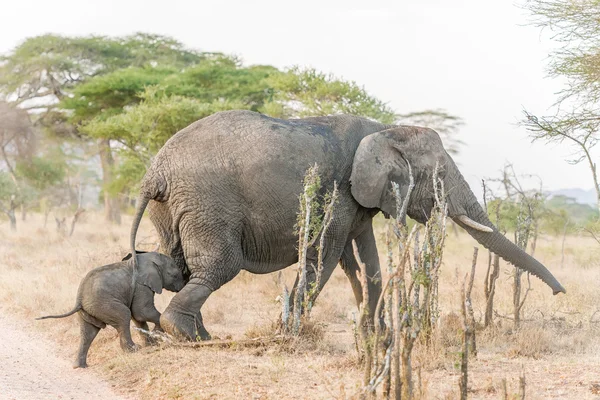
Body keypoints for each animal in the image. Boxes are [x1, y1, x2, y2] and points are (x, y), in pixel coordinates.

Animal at [36, 252, 185, 368]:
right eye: (175, 275)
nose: (182, 287)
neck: (148, 258)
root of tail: (79, 298)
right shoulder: (141, 285)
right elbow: (141, 312)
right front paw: (156, 335)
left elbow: (138, 317)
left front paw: (153, 343)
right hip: (104, 304)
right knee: (124, 316)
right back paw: (134, 349)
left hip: (88, 311)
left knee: (88, 332)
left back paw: (79, 366)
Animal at [129, 110, 564, 340]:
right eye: (439, 177)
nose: (561, 293)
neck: (387, 130)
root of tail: (155, 172)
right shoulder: (338, 192)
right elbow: (325, 254)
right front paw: (290, 333)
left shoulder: (359, 199)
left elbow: (364, 261)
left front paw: (379, 335)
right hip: (207, 200)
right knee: (220, 264)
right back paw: (187, 335)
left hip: (176, 207)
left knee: (180, 264)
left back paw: (192, 333)